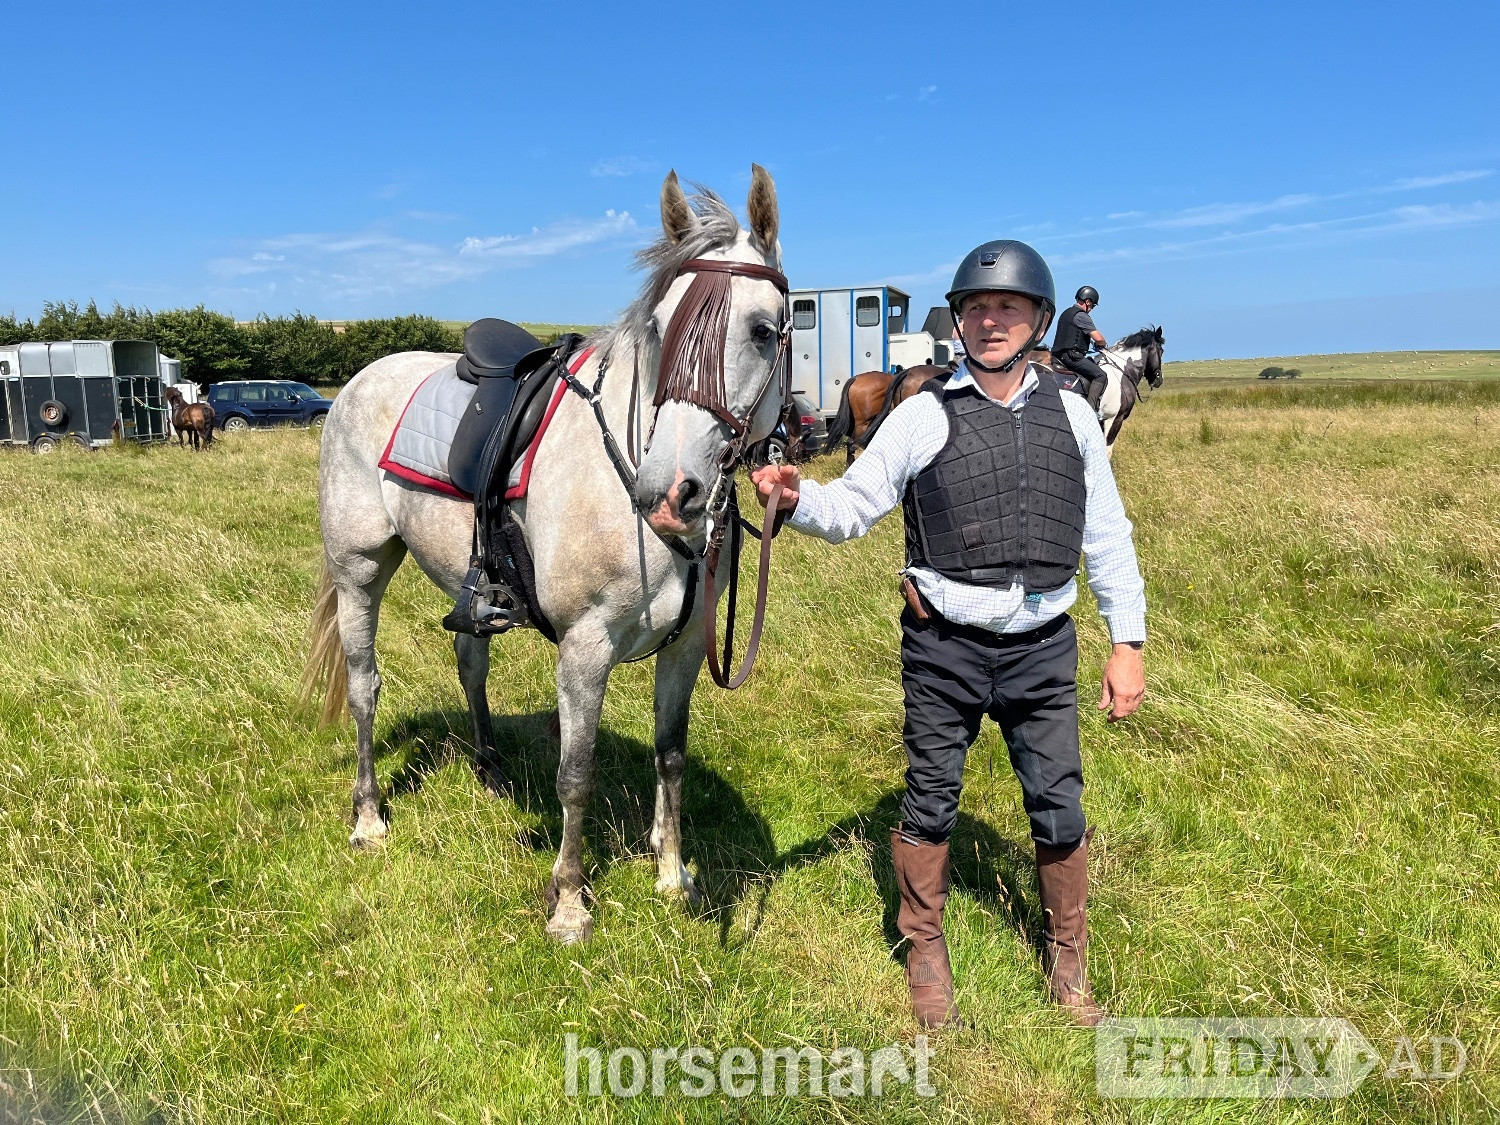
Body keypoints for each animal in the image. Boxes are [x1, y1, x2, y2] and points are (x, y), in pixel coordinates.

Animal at [300, 168, 790, 945]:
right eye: (659, 330)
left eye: (763, 331)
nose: (670, 492)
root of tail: (355, 382)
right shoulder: (585, 650)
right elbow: (576, 773)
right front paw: (568, 902)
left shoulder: (685, 648)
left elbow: (671, 755)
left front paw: (672, 875)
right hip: (360, 572)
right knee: (364, 688)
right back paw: (370, 817)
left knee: (470, 663)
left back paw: (490, 768)